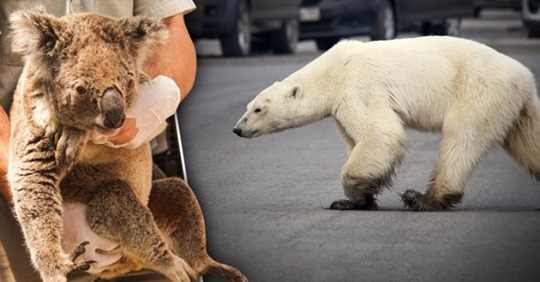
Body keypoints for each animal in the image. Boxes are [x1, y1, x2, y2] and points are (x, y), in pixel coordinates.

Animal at [233, 35, 540, 212]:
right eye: (247, 107)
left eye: (258, 109)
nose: (237, 129)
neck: (330, 70)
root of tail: (524, 76)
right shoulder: (341, 106)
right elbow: (356, 140)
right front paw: (354, 199)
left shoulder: (356, 87)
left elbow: (381, 134)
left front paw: (353, 196)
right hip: (517, 107)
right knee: (529, 141)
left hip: (479, 90)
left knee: (461, 137)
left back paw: (423, 198)